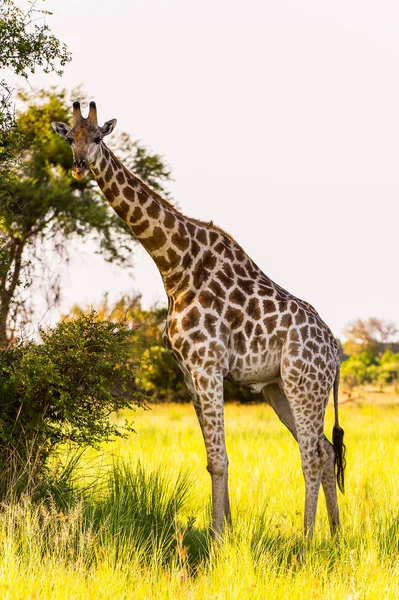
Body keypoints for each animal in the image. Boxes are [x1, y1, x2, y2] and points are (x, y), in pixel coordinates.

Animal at [52, 101, 346, 540]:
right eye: (70, 137)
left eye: (100, 137)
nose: (79, 166)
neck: (174, 266)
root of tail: (335, 352)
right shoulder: (189, 370)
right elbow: (211, 458)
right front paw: (222, 531)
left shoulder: (208, 365)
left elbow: (220, 457)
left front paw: (219, 537)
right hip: (279, 387)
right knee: (325, 449)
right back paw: (336, 535)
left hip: (303, 383)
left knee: (312, 453)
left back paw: (307, 540)